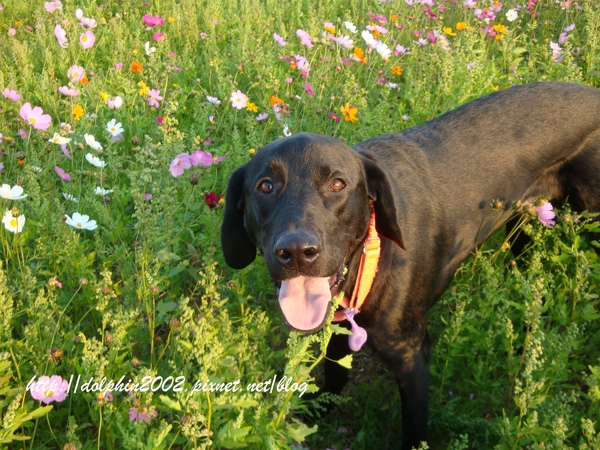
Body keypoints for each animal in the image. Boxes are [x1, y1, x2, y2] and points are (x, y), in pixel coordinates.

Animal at [219, 82, 600, 448]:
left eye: (337, 183)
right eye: (265, 185)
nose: (297, 251)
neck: (371, 259)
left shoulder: (412, 358)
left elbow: (414, 431)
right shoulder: (338, 330)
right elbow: (335, 374)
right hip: (524, 224)